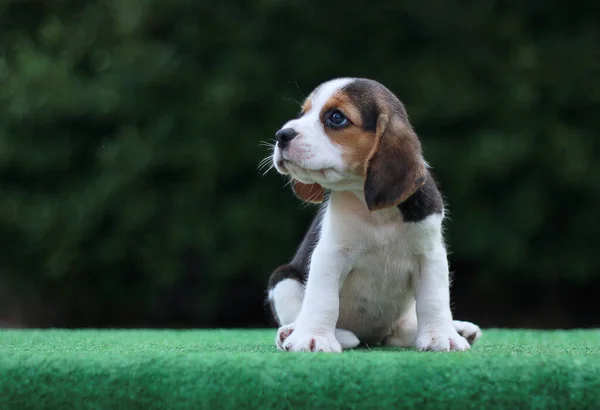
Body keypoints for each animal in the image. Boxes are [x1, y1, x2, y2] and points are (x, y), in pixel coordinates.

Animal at [264, 77, 480, 352]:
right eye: (303, 113)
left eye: (336, 117)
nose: (281, 135)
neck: (377, 213)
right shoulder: (330, 255)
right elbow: (323, 300)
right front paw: (313, 337)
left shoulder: (430, 255)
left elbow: (434, 300)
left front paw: (441, 336)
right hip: (283, 280)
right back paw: (295, 332)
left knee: (404, 330)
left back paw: (459, 328)